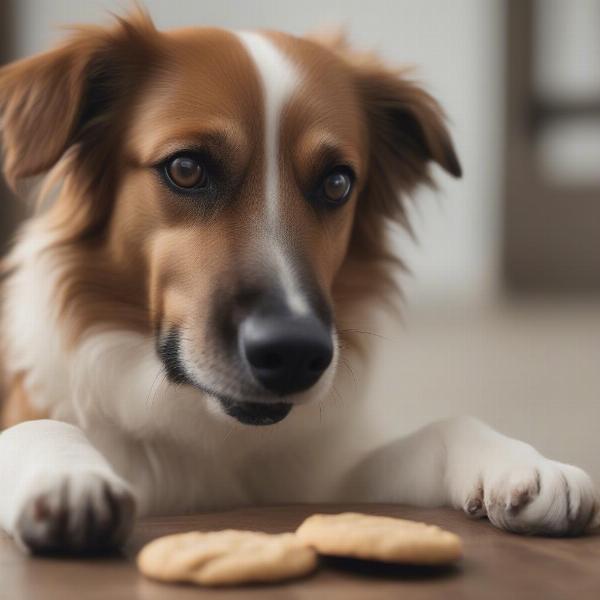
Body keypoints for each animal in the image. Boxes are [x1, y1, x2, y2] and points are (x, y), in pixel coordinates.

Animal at [0, 10, 596, 552]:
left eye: (336, 183)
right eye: (186, 169)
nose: (292, 354)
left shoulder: (324, 477)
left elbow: (445, 427)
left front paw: (522, 462)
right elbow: (35, 428)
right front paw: (69, 477)